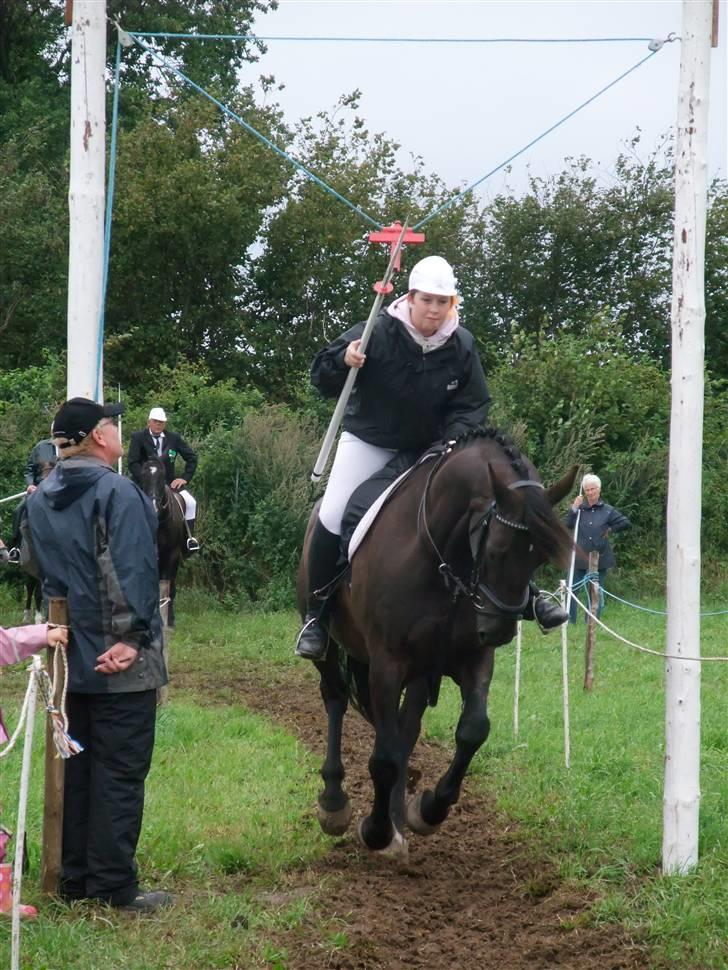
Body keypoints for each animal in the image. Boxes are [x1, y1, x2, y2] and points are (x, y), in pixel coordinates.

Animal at [296, 428, 576, 860]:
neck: (444, 558)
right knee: (336, 699)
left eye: (539, 559)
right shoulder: (387, 664)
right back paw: (335, 803)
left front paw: (427, 809)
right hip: (331, 650)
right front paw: (376, 830)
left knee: (405, 730)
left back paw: (397, 818)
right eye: (496, 551)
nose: (500, 630)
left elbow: (472, 730)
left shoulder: (473, 658)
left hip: (422, 671)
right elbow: (383, 758)